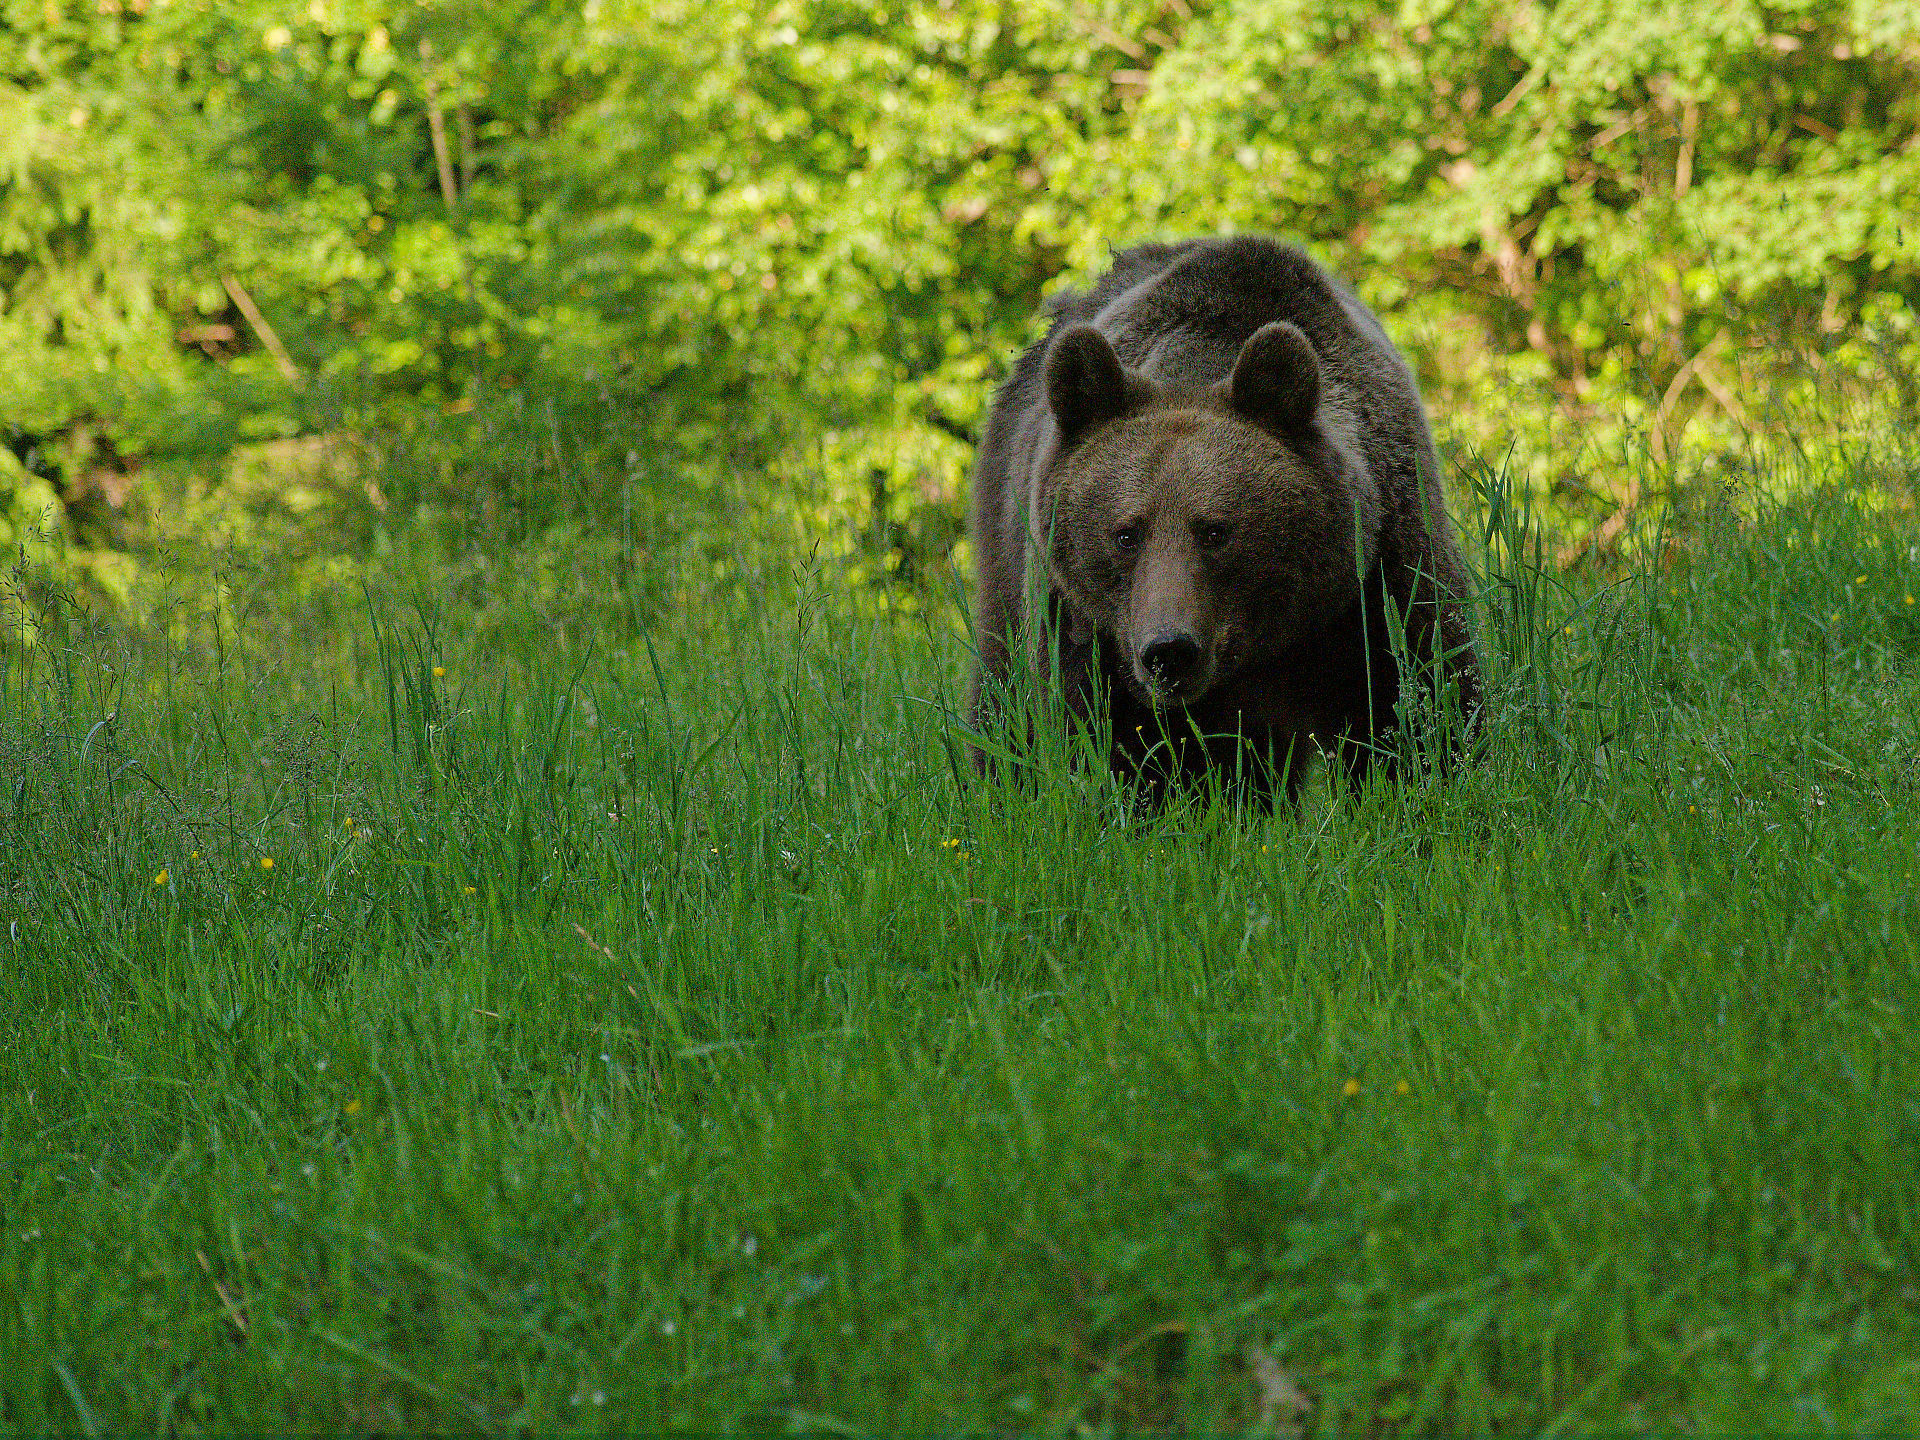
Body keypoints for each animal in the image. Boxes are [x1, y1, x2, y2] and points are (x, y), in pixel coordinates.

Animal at [967, 235, 1482, 804]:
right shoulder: (1088, 630)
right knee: (1002, 700)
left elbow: (1415, 703)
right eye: (1125, 534)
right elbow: (1115, 744)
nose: (1168, 652)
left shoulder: (1378, 578)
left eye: (1215, 531)